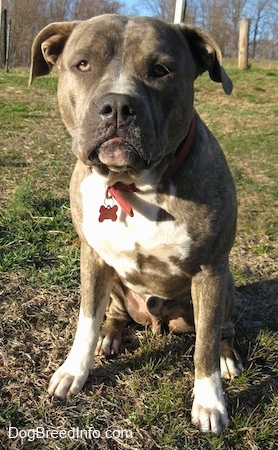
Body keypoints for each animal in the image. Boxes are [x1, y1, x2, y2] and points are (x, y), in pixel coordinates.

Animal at [29, 14, 243, 434]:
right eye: (83, 64)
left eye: (160, 70)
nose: (117, 106)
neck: (134, 184)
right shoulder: (93, 258)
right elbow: (86, 319)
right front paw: (74, 371)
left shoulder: (210, 270)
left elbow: (205, 345)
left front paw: (210, 403)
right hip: (115, 281)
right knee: (113, 314)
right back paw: (110, 338)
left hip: (224, 284)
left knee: (220, 331)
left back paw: (227, 357)